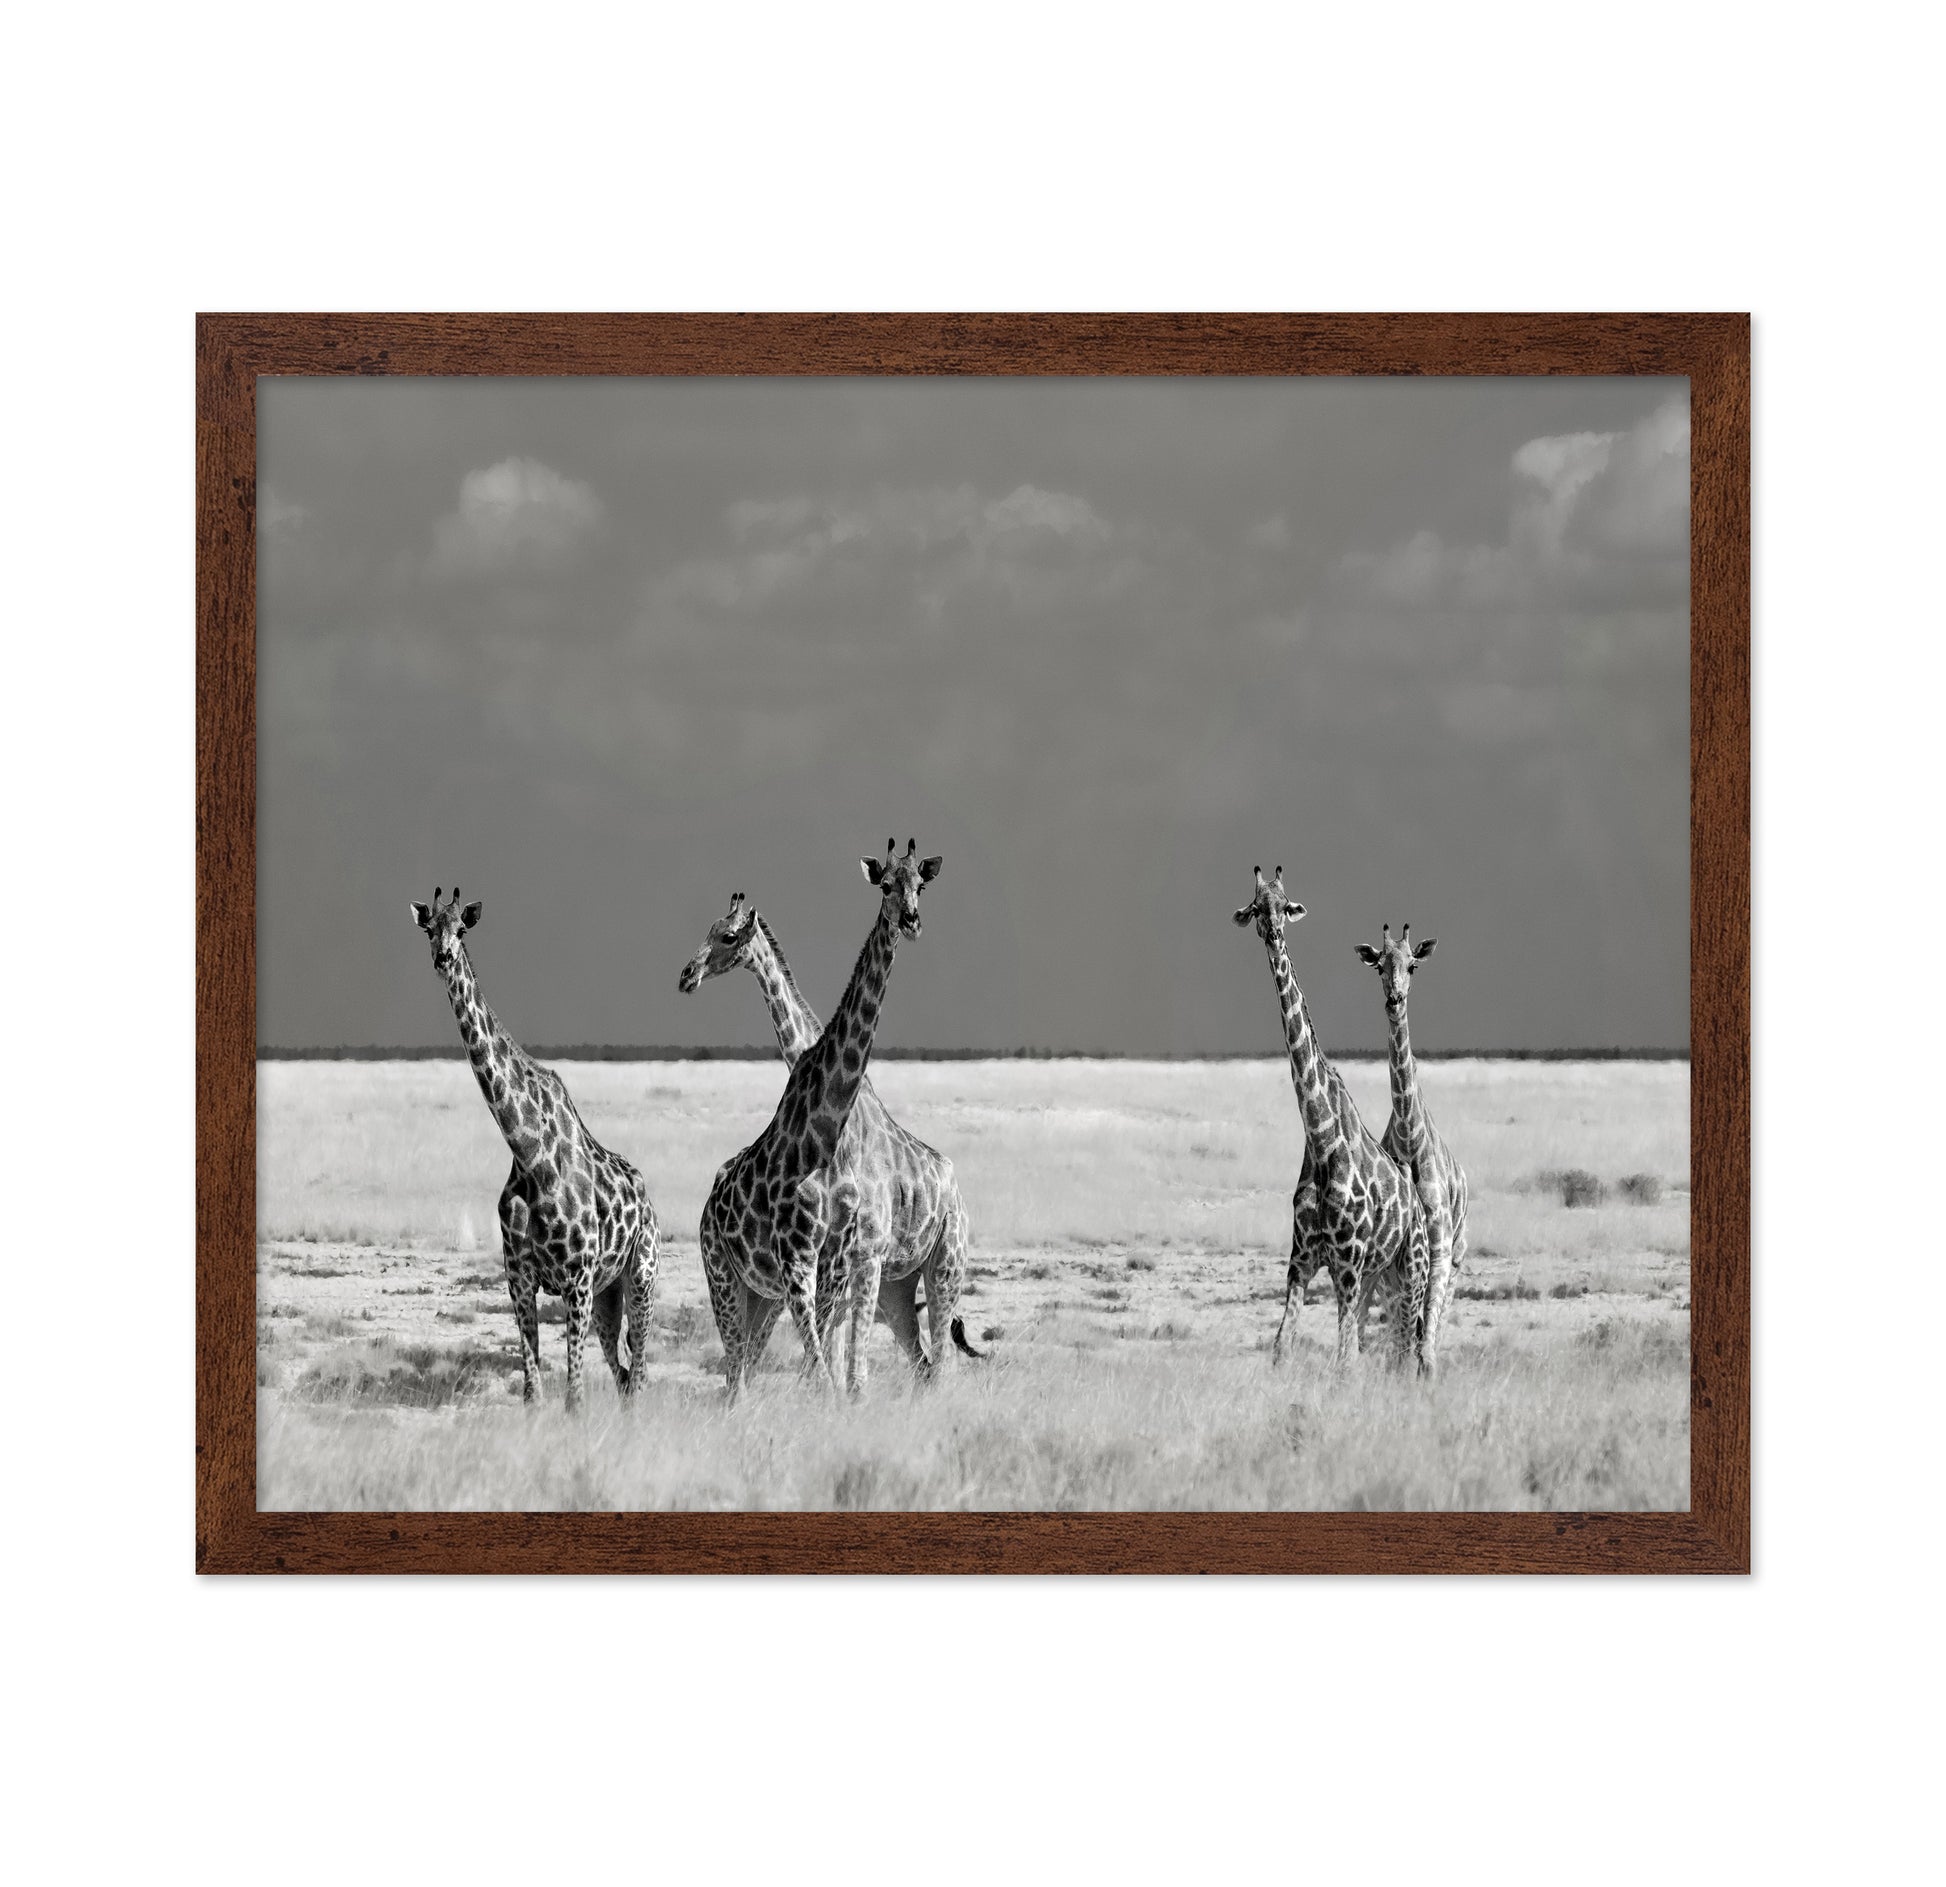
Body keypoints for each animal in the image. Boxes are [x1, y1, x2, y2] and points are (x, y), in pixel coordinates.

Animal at [410, 887, 660, 1410]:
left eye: (461, 929)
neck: (529, 1154)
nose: (443, 958)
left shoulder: (577, 1282)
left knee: (640, 1372)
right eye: (429, 929)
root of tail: (648, 1199)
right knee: (625, 1374)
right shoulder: (520, 1281)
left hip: (641, 1276)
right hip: (609, 1296)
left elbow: (574, 1397)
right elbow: (532, 1391)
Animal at [679, 890, 979, 1378]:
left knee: (937, 1359)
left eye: (728, 936)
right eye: (710, 930)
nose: (688, 975)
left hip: (943, 1260)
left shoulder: (859, 1255)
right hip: (893, 1285)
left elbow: (843, 1366)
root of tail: (953, 1180)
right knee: (919, 1360)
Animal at [1232, 866, 1430, 1374]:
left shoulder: (1346, 1263)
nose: (1274, 931)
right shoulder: (1301, 1261)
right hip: (1379, 1272)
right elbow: (1283, 1347)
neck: (1321, 1141)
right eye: (1256, 907)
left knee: (1412, 1346)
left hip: (1411, 1268)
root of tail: (1419, 1207)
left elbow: (1344, 1362)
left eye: (1287, 905)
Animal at [1356, 922, 1470, 1373]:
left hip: (1456, 1259)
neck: (1409, 1136)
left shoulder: (1439, 1251)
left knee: (1429, 1330)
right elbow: (1405, 1338)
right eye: (1378, 966)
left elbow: (1426, 1345)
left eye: (1413, 965)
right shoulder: (1392, 1263)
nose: (1394, 999)